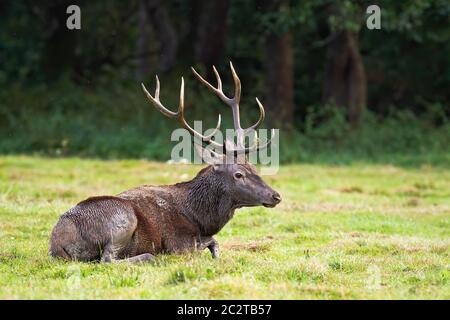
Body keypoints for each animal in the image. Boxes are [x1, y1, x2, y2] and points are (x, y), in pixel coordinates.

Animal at [49, 62, 282, 262]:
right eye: (238, 174)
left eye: (254, 167)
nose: (276, 195)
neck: (201, 218)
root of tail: (56, 244)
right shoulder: (178, 242)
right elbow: (208, 243)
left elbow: (215, 243)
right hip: (122, 219)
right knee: (107, 259)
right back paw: (149, 257)